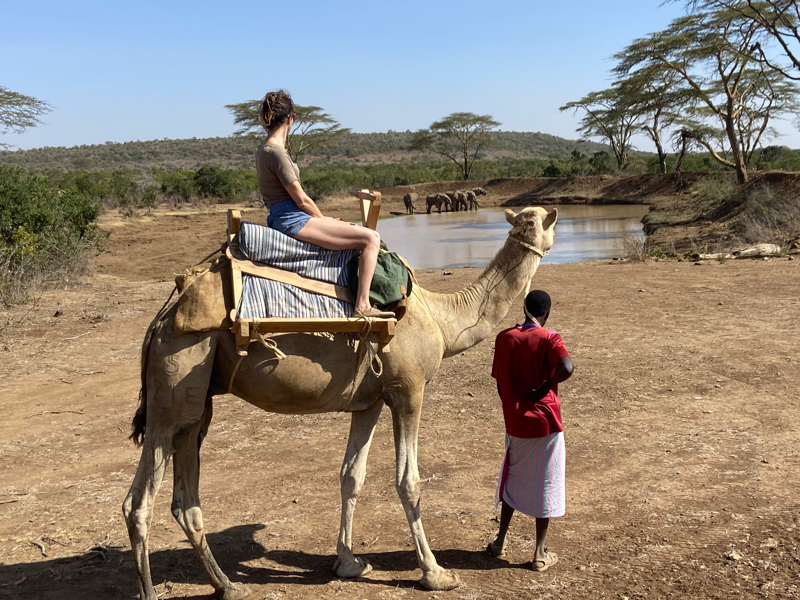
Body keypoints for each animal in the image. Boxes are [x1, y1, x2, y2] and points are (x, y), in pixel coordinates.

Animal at [120, 207, 556, 600]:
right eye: (540, 221)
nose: (548, 227)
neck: (441, 318)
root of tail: (161, 320)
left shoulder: (369, 401)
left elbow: (351, 476)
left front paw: (348, 563)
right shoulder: (408, 389)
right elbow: (409, 481)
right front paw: (436, 573)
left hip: (197, 398)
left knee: (185, 498)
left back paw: (227, 585)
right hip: (176, 375)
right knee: (138, 502)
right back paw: (153, 590)